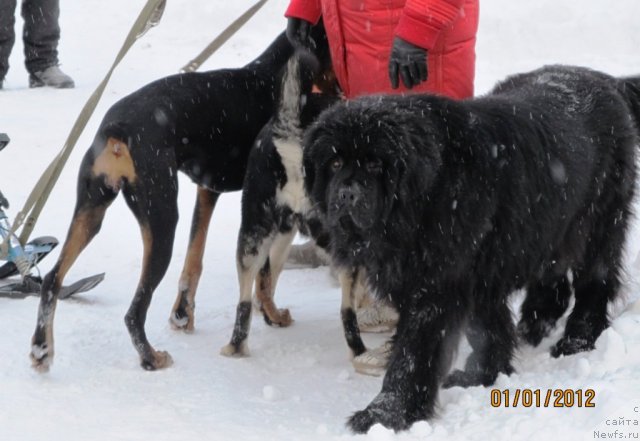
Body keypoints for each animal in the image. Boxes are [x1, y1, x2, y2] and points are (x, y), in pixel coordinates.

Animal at [28, 28, 336, 372]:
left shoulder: (208, 190)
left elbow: (194, 260)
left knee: (52, 279)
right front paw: (271, 315)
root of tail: (117, 129)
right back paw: (150, 357)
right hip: (162, 220)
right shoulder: (268, 207)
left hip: (91, 211)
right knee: (134, 311)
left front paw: (182, 315)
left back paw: (41, 349)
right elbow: (266, 273)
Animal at [302, 64, 640, 430]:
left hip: (598, 222)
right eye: (335, 164)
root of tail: (607, 80)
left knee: (595, 280)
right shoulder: (475, 273)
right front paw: (483, 375)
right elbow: (488, 327)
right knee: (553, 281)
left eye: (376, 164)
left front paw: (385, 414)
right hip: (547, 225)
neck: (427, 197)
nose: (346, 194)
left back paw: (577, 339)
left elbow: (414, 352)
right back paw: (534, 325)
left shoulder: (437, 286)